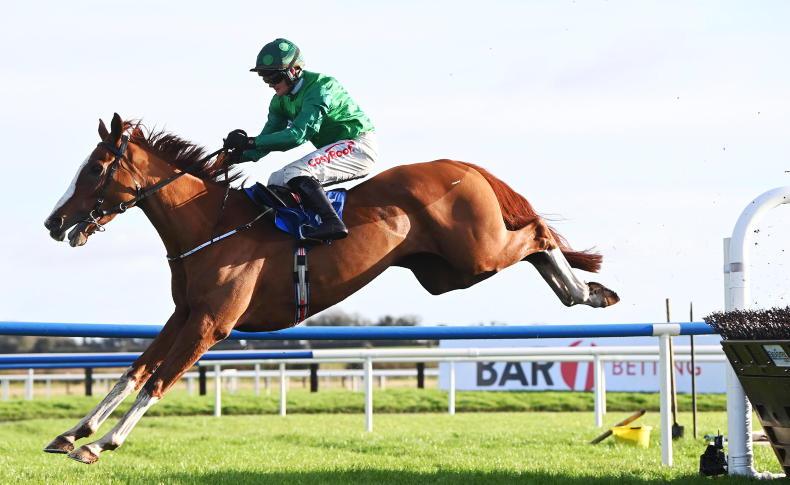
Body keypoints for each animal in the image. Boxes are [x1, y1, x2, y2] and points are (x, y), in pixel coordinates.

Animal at [42, 113, 619, 464]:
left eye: (95, 168)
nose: (53, 223)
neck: (210, 224)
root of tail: (460, 165)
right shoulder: (184, 314)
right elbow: (133, 370)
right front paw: (73, 433)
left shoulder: (212, 323)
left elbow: (159, 379)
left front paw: (104, 442)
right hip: (446, 274)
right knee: (532, 244)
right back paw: (586, 290)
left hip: (475, 252)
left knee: (537, 233)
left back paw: (587, 292)